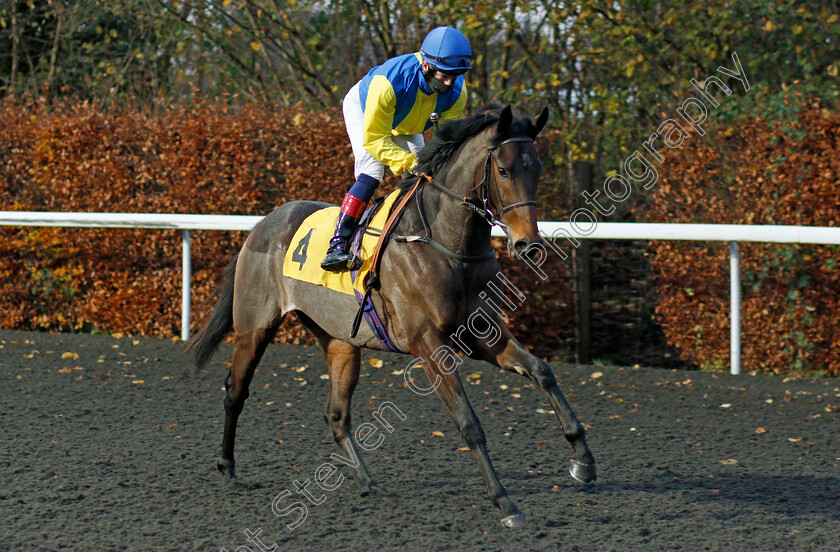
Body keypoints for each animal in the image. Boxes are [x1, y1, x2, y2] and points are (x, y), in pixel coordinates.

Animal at [190, 104, 596, 532]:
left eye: (537, 169)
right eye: (503, 170)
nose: (528, 245)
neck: (446, 243)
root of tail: (261, 225)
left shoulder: (481, 332)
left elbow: (541, 371)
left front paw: (583, 462)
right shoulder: (429, 344)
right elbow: (468, 421)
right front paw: (505, 501)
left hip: (340, 340)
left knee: (337, 415)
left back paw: (368, 483)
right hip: (255, 327)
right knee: (235, 391)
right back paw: (227, 467)